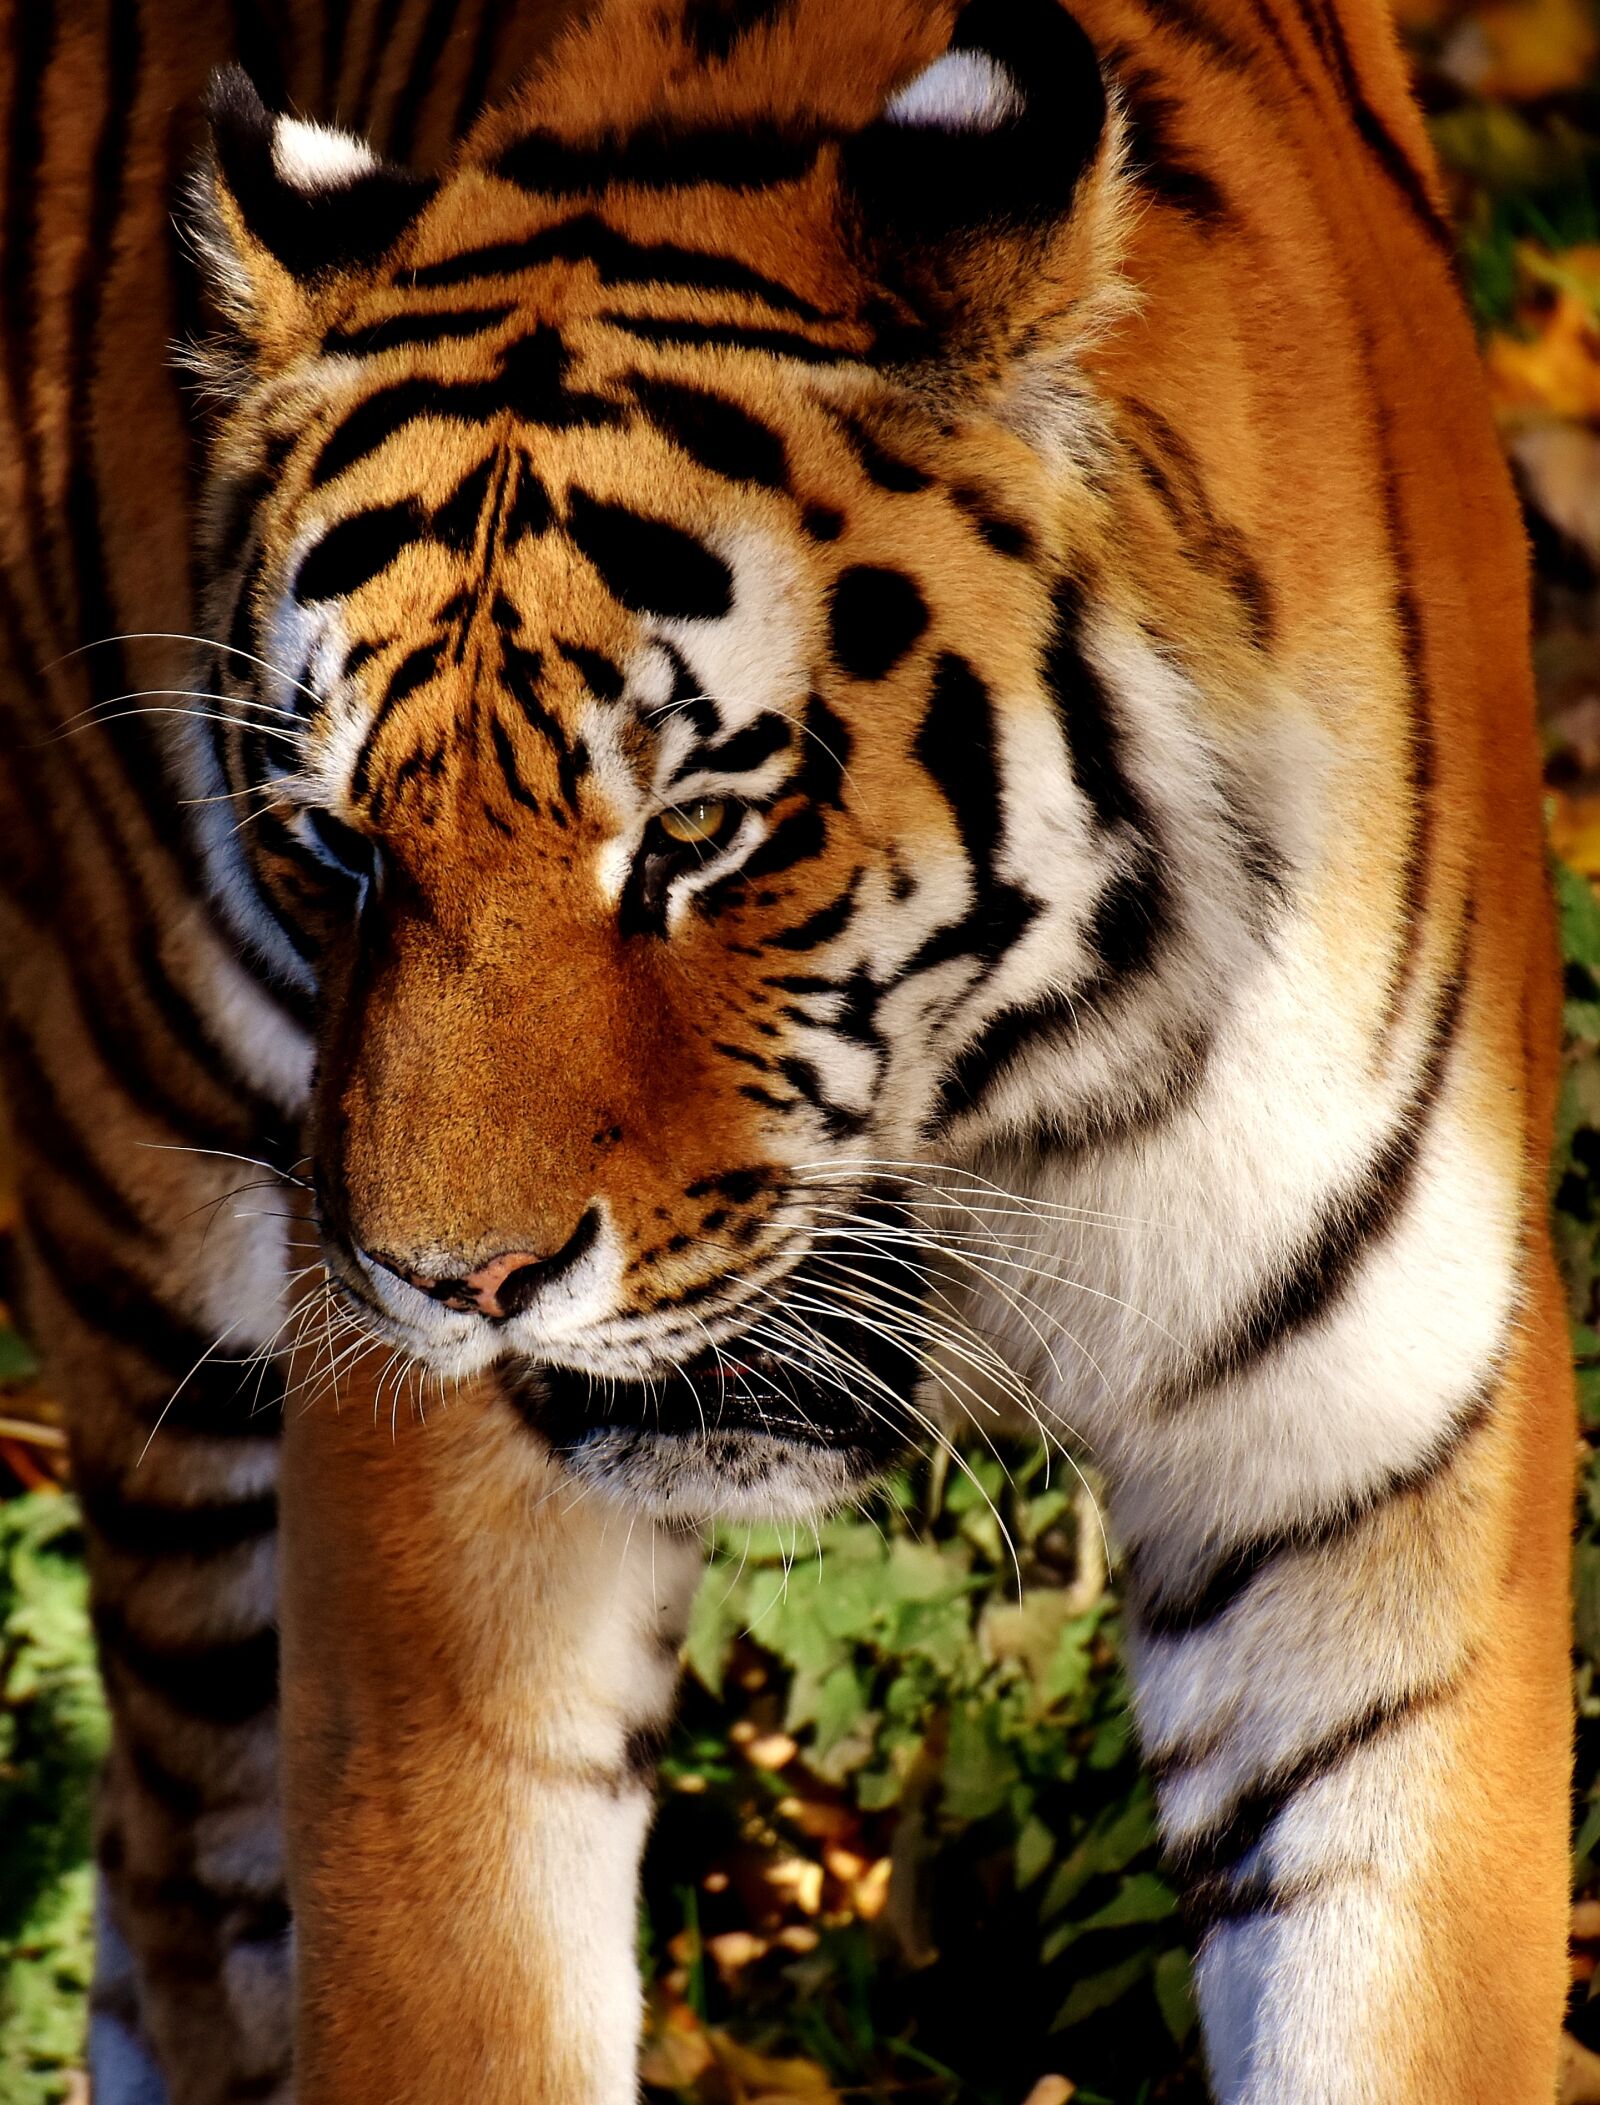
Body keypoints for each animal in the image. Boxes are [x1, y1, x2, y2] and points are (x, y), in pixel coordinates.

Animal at [0, 0, 1573, 2097]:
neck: (1025, 1121)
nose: (451, 1284)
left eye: (694, 832)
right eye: (341, 844)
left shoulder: (1380, 1481)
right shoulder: (436, 1539)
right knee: (186, 1873)